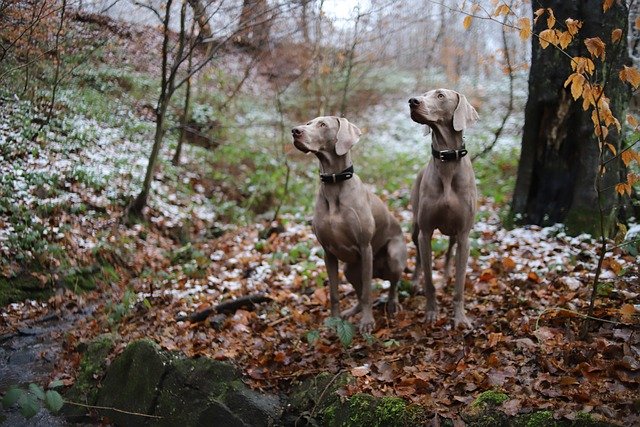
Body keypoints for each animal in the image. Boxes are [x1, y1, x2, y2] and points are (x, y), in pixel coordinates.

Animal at [292, 117, 408, 334]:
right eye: (308, 123)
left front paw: (367, 322)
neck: (334, 184)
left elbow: (368, 293)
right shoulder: (328, 253)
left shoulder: (365, 247)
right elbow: (334, 293)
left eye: (322, 125)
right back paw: (351, 312)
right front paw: (334, 323)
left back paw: (392, 304)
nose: (295, 131)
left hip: (393, 257)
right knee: (360, 292)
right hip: (350, 269)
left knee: (391, 285)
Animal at [408, 87, 478, 328]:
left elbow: (460, 284)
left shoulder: (465, 235)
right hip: (415, 227)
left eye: (440, 95)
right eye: (423, 93)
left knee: (450, 249)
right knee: (419, 256)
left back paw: (447, 275)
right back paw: (414, 281)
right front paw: (431, 312)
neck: (447, 161)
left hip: (455, 233)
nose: (412, 101)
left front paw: (460, 318)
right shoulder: (426, 232)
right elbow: (429, 280)